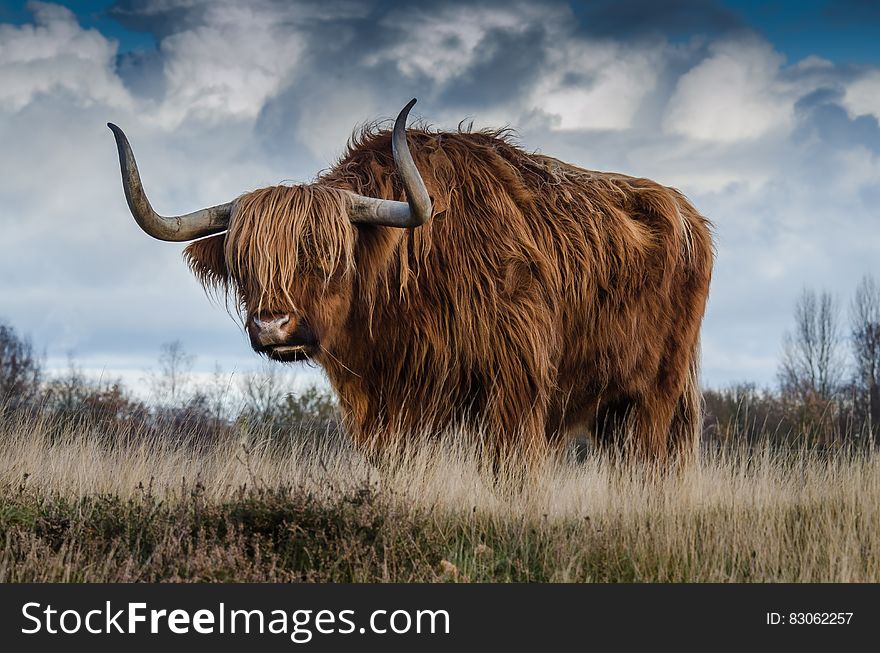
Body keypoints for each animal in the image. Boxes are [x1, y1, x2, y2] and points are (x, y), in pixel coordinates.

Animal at [110, 99, 716, 466]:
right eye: (243, 264)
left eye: (329, 256)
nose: (272, 326)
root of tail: (687, 213)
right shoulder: (387, 406)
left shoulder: (515, 389)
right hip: (614, 406)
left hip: (656, 393)